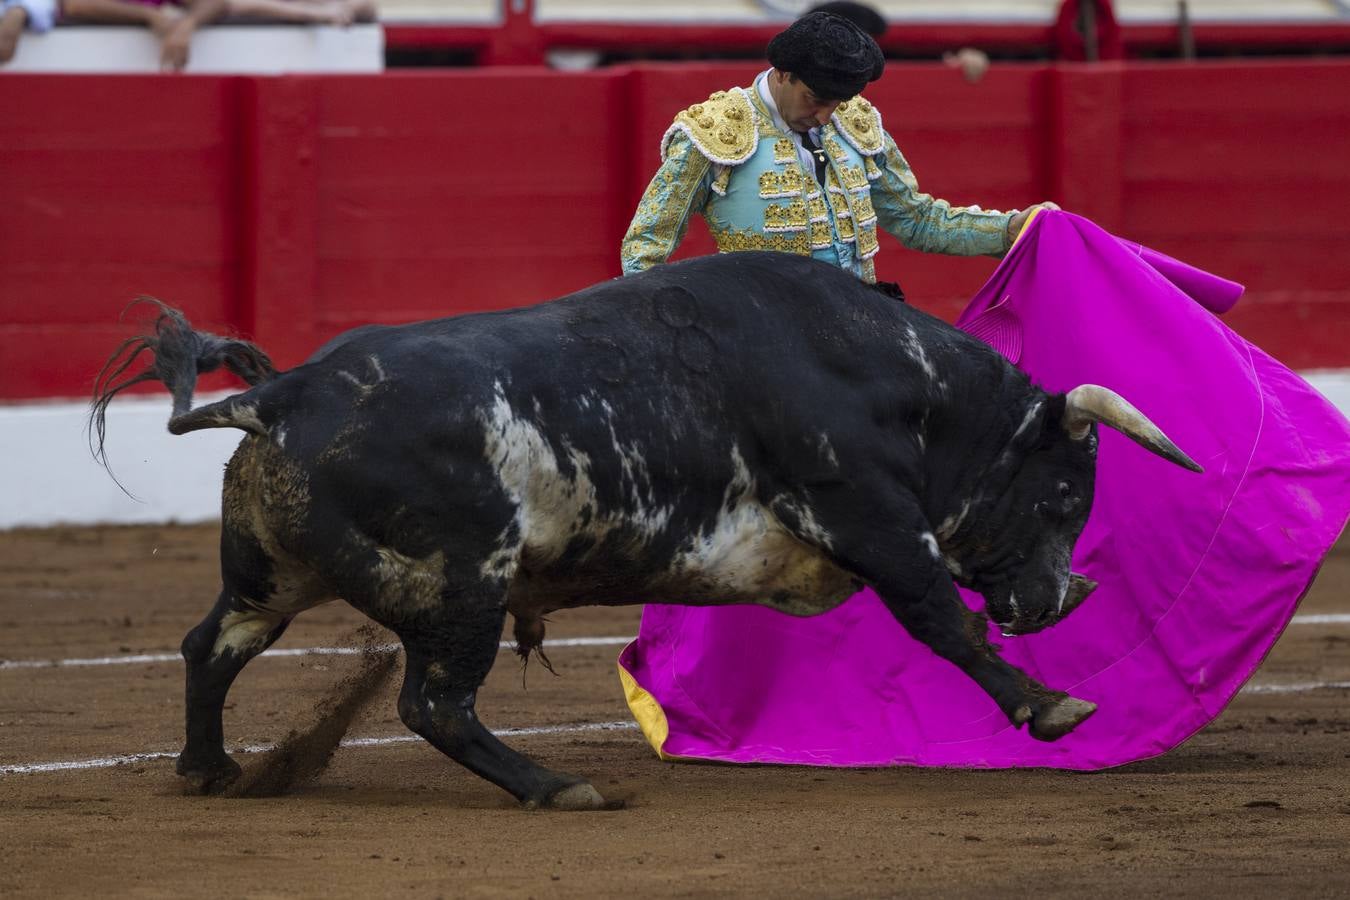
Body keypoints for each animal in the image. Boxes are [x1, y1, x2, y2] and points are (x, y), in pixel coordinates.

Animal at [92, 252, 1204, 809]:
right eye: (1063, 498)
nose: (1052, 603)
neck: (892, 379)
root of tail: (282, 398)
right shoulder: (874, 518)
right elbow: (942, 620)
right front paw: (1052, 708)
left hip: (272, 576)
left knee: (213, 644)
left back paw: (210, 770)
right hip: (464, 584)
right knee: (432, 703)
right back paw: (558, 786)